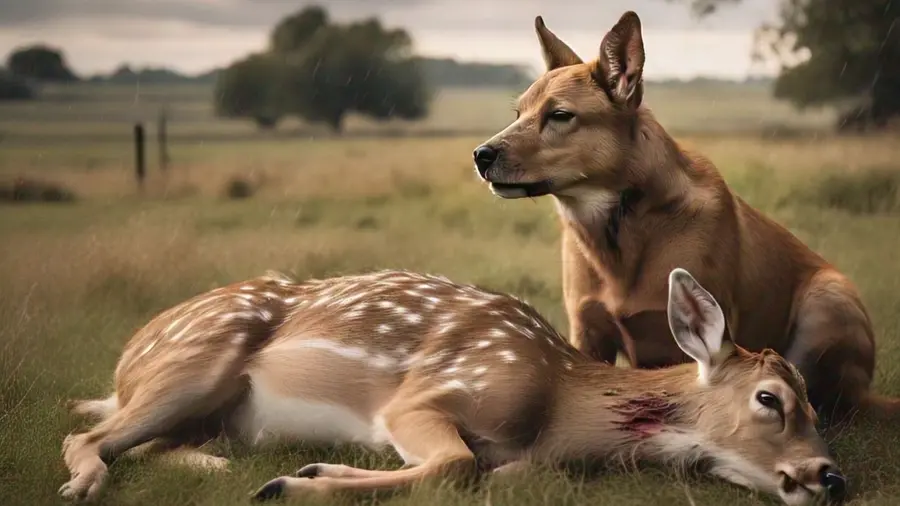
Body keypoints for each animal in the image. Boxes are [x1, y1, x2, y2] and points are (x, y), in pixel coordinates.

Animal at [60, 267, 846, 505]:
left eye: (813, 399)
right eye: (771, 398)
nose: (828, 475)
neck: (556, 401)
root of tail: (128, 359)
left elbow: (483, 470)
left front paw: (309, 472)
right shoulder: (427, 395)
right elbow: (456, 463)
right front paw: (297, 483)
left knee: (147, 442)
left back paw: (219, 467)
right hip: (198, 358)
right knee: (84, 432)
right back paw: (85, 483)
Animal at [471, 10, 899, 421]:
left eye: (560, 115)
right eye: (518, 112)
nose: (481, 155)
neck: (620, 232)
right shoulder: (587, 333)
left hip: (828, 298)